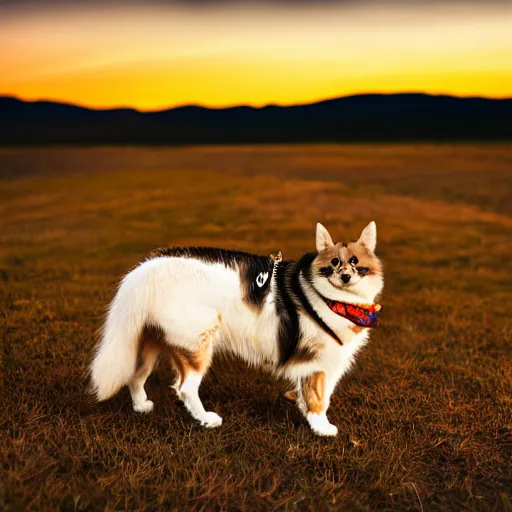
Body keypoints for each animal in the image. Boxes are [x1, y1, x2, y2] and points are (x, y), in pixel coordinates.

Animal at [90, 223, 382, 436]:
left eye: (355, 261)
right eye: (334, 263)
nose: (345, 276)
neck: (330, 298)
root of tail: (146, 270)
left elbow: (310, 392)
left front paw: (301, 406)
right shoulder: (320, 362)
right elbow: (319, 398)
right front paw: (322, 427)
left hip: (148, 341)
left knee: (135, 375)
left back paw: (141, 406)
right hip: (196, 341)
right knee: (185, 388)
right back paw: (206, 419)